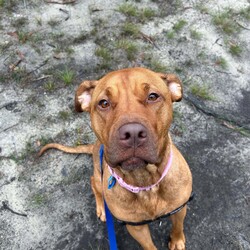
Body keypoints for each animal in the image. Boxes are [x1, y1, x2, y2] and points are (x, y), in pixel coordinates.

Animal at [39, 68, 192, 250]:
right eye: (104, 103)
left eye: (153, 96)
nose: (132, 133)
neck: (145, 181)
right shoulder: (136, 227)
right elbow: (149, 246)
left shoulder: (179, 208)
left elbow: (178, 226)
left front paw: (177, 241)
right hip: (99, 177)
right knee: (94, 183)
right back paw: (102, 208)